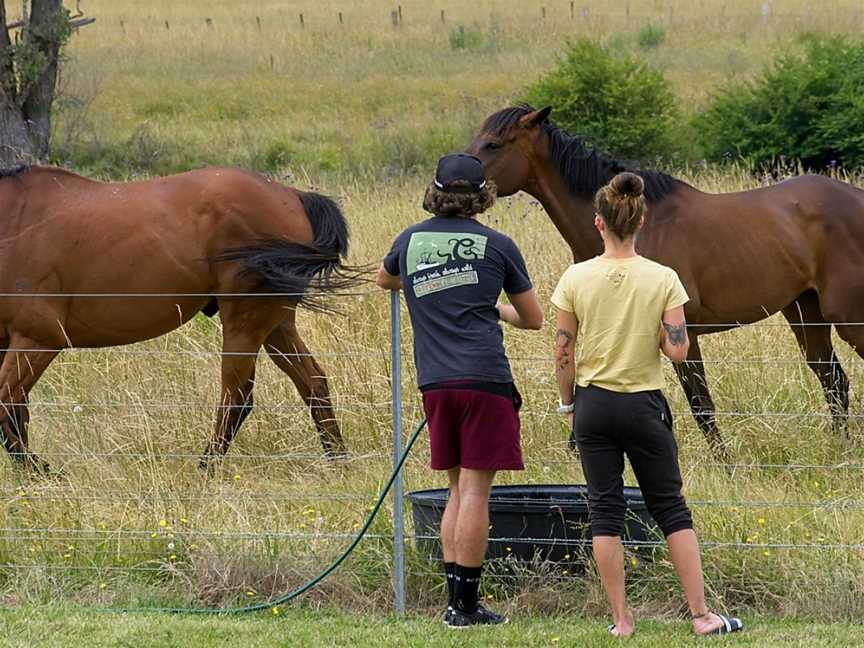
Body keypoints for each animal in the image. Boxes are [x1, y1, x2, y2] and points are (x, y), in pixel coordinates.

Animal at [0, 165, 362, 474]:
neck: (13, 223)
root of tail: (292, 195)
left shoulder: (39, 339)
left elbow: (5, 405)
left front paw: (43, 471)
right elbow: (16, 413)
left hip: (245, 320)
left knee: (238, 397)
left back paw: (206, 467)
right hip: (276, 325)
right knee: (312, 382)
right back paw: (338, 460)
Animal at [470, 106, 864, 458]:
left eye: (493, 144)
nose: (454, 185)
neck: (629, 240)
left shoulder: (682, 335)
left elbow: (700, 403)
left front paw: (724, 465)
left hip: (847, 318)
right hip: (805, 312)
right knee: (833, 381)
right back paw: (839, 450)